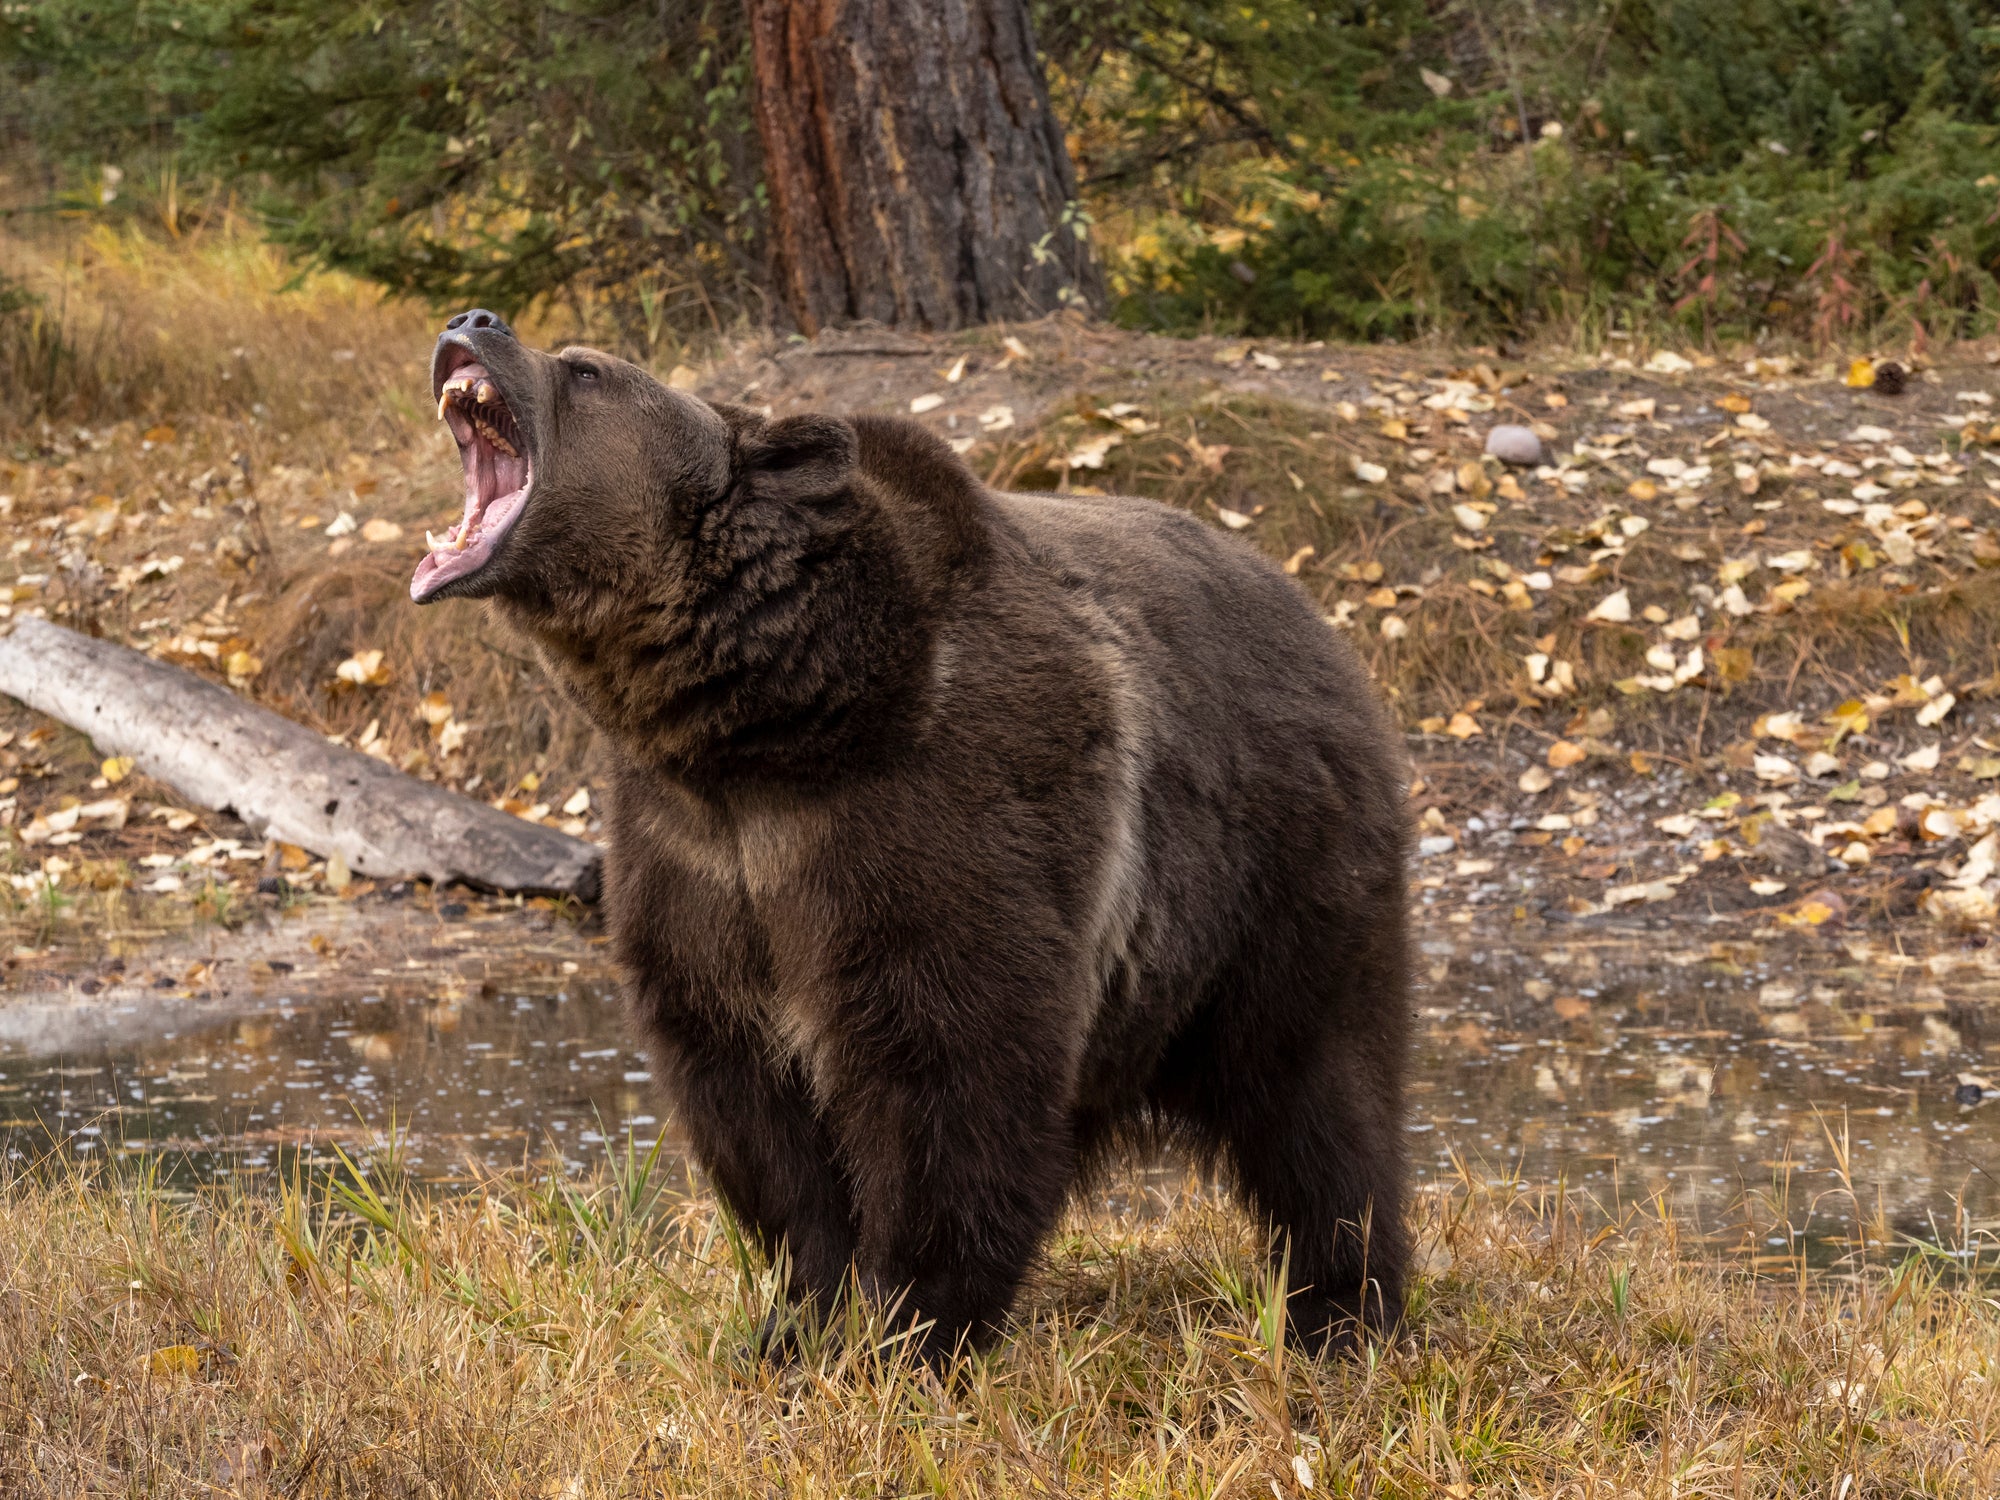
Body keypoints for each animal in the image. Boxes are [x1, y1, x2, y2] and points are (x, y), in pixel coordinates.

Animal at [413, 308, 1413, 1361]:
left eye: (587, 371)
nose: (475, 320)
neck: (765, 729)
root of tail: (1318, 616)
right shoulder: (697, 863)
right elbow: (754, 1108)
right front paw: (797, 1321)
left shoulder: (932, 818)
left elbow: (950, 1074)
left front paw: (911, 1328)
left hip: (1278, 872)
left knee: (1317, 1093)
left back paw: (1342, 1308)